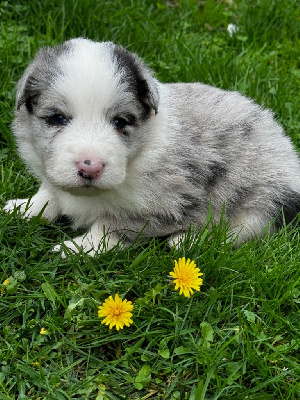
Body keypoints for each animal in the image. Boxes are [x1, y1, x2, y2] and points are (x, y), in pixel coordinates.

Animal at [4, 39, 300, 255]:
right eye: (57, 118)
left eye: (121, 121)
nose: (91, 167)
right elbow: (49, 193)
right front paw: (24, 208)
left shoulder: (158, 205)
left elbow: (108, 226)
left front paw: (76, 248)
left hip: (266, 199)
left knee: (240, 230)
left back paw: (187, 240)